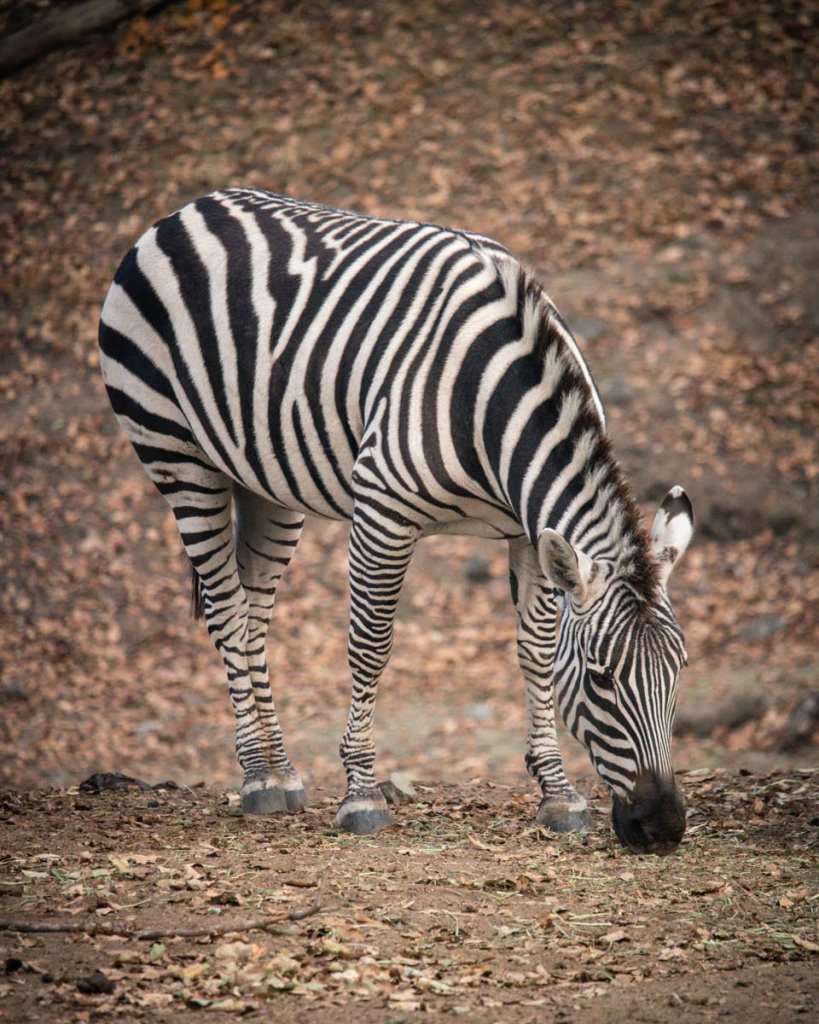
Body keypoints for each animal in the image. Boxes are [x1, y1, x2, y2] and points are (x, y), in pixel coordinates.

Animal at [99, 186, 696, 856]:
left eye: (680, 671)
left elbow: (537, 651)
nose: (663, 826)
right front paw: (361, 792)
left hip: (268, 480)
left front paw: (557, 792)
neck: (492, 405)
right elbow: (371, 645)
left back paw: (281, 772)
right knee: (226, 608)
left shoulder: (526, 530)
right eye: (600, 680)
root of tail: (190, 208)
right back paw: (254, 776)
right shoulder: (382, 512)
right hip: (175, 452)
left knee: (253, 613)